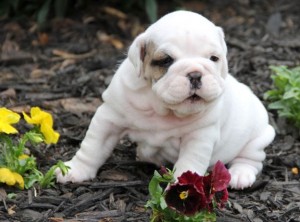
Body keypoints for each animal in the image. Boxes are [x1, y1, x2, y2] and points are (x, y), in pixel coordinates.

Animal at [56, 10, 274, 189]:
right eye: (166, 61)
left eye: (213, 58)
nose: (195, 74)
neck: (162, 108)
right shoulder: (109, 118)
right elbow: (92, 146)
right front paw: (75, 169)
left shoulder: (198, 138)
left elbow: (188, 166)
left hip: (258, 137)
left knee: (251, 158)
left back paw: (240, 175)